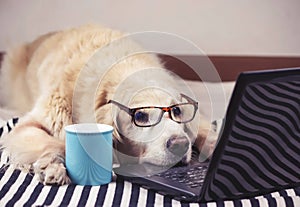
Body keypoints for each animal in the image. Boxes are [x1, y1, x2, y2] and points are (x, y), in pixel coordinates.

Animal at [0, 25, 216, 185]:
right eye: (140, 116)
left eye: (177, 110)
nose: (180, 145)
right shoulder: (28, 125)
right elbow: (56, 142)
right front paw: (51, 166)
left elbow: (205, 130)